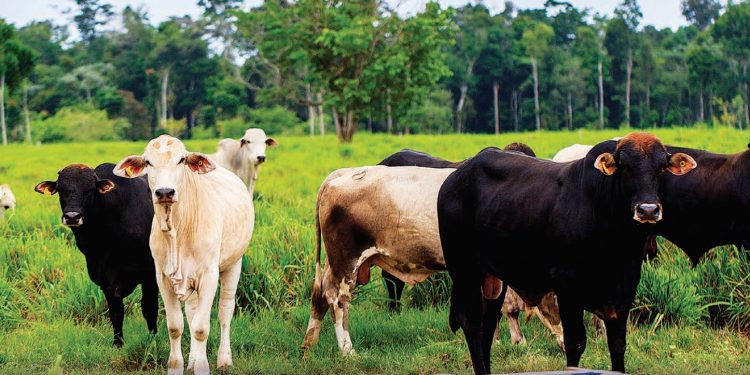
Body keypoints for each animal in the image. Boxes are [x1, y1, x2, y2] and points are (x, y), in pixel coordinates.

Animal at [36, 162, 159, 346]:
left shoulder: (150, 273)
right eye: (61, 189)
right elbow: (116, 313)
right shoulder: (105, 277)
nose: (72, 216)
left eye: (89, 190)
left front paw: (153, 341)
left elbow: (149, 309)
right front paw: (118, 344)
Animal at [114, 135, 256, 375]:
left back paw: (224, 359)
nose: (164, 192)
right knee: (191, 312)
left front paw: (203, 367)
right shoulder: (162, 278)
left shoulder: (209, 276)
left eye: (181, 160)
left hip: (233, 264)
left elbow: (201, 328)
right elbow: (176, 326)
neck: (178, 230)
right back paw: (192, 360)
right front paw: (178, 366)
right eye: (148, 162)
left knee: (225, 312)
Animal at [440, 134, 700, 374]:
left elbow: (617, 345)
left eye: (661, 167)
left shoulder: (623, 293)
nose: (648, 210)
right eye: (624, 166)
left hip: (494, 279)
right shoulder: (567, 290)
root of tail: (456, 177)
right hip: (465, 271)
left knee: (488, 325)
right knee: (472, 323)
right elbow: (575, 343)